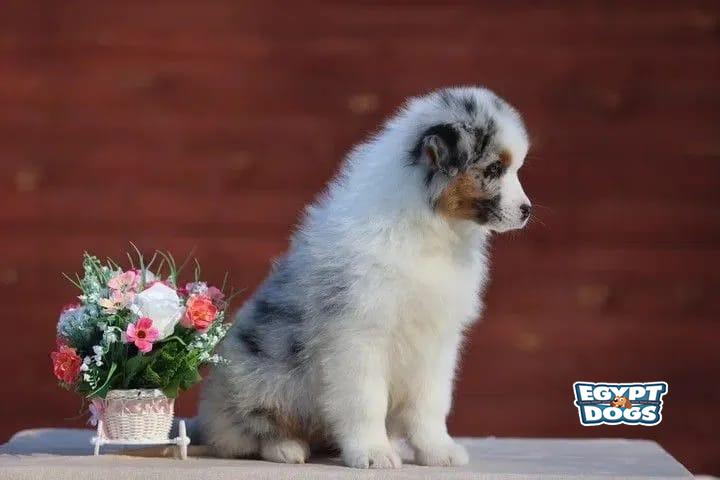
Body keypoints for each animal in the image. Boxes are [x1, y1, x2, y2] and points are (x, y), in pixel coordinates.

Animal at [197, 86, 531, 468]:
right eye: (494, 168)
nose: (527, 210)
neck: (432, 228)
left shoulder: (437, 340)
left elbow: (430, 404)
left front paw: (437, 450)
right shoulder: (359, 335)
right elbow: (366, 401)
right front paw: (374, 453)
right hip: (261, 374)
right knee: (247, 431)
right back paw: (286, 447)